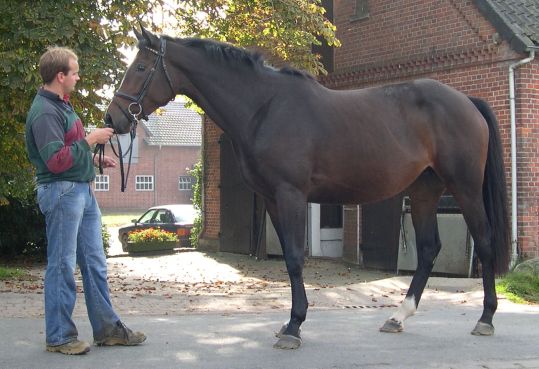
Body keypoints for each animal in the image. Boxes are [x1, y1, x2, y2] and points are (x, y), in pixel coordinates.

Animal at [105, 27, 510, 350]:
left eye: (140, 68)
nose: (114, 118)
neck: (265, 107)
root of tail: (467, 101)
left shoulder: (291, 195)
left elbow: (297, 258)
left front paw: (294, 328)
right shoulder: (272, 199)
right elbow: (287, 257)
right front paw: (290, 321)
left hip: (465, 188)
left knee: (484, 241)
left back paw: (486, 319)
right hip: (425, 190)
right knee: (428, 250)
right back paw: (399, 316)